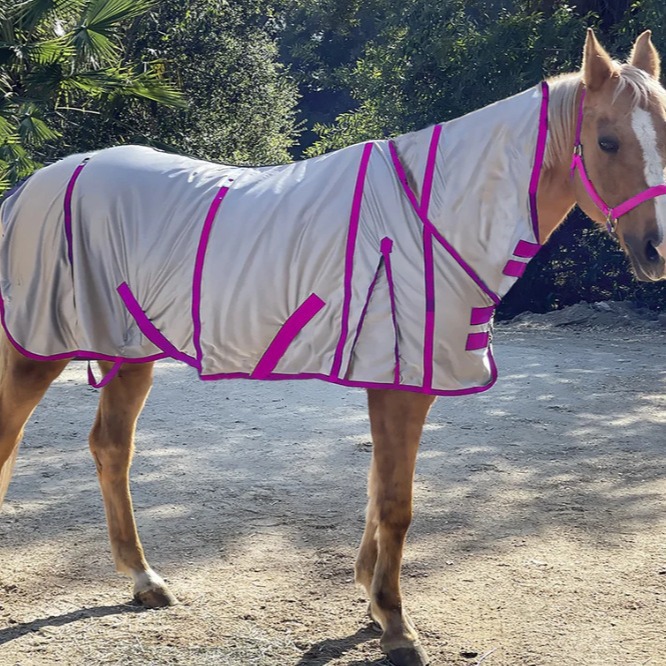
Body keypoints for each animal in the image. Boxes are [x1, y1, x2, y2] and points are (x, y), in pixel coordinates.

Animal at [1, 29, 665, 666]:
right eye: (607, 141)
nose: (657, 250)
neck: (432, 213)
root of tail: (33, 184)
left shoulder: (401, 380)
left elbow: (378, 491)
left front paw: (372, 597)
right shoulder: (398, 383)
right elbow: (396, 502)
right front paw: (395, 626)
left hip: (129, 351)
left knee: (111, 449)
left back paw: (143, 579)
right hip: (37, 349)